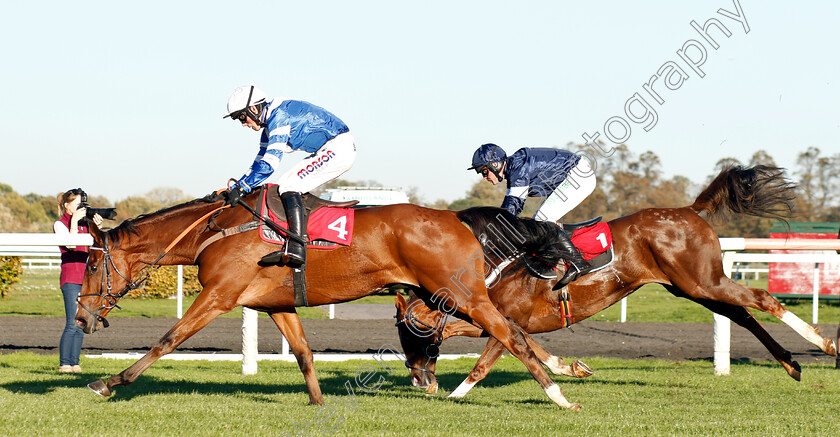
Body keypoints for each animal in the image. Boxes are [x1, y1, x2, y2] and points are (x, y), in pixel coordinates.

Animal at [75, 188, 592, 408]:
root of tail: (458, 217)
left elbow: (168, 339)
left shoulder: (220, 295)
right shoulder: (275, 304)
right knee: (509, 329)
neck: (214, 229)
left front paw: (109, 382)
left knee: (509, 333)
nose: (81, 316)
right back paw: (564, 370)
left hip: (459, 293)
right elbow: (304, 352)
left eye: (94, 265)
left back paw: (559, 396)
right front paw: (318, 401)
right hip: (444, 296)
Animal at [396, 166, 840, 398]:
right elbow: (520, 348)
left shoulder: (506, 317)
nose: (417, 378)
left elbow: (484, 363)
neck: (495, 259)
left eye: (408, 332)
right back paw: (792, 363)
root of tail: (688, 209)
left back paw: (824, 344)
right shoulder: (505, 318)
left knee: (763, 297)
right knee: (743, 315)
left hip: (703, 282)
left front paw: (454, 398)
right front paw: (573, 368)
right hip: (693, 287)